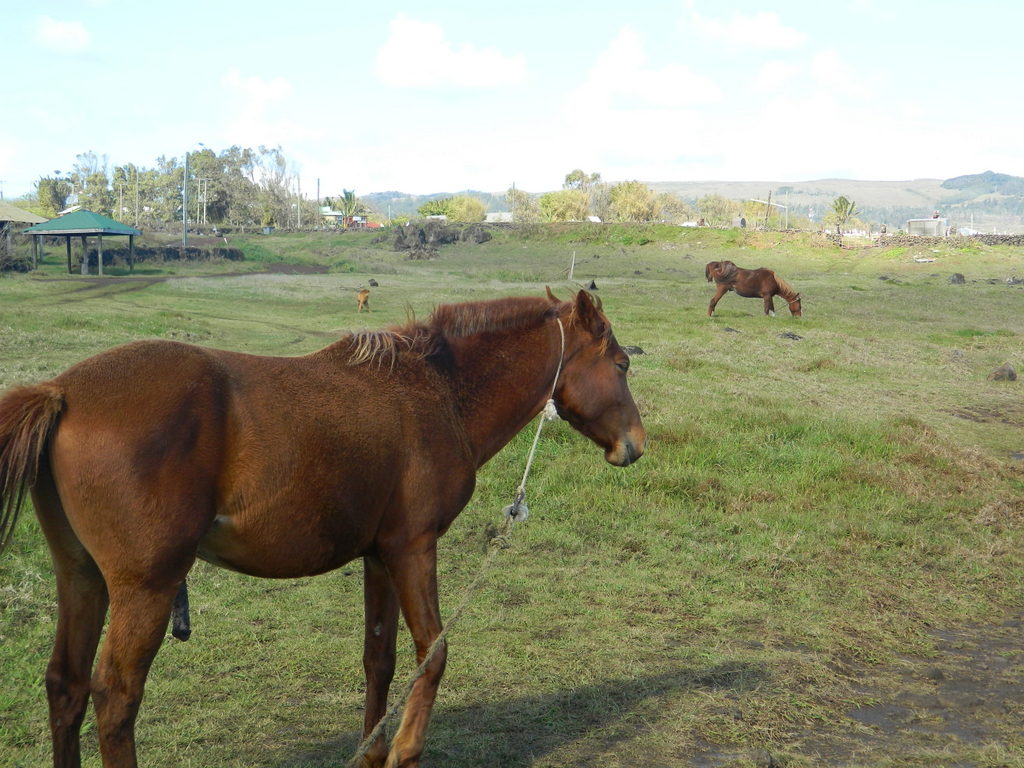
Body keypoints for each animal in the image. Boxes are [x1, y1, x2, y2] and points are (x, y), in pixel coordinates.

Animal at [0, 290, 643, 768]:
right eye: (621, 364)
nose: (635, 444)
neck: (435, 390)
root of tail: (62, 390)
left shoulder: (380, 556)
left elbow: (380, 659)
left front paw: (373, 753)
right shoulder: (413, 547)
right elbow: (432, 653)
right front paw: (405, 750)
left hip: (81, 576)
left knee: (66, 684)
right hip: (146, 589)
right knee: (116, 696)